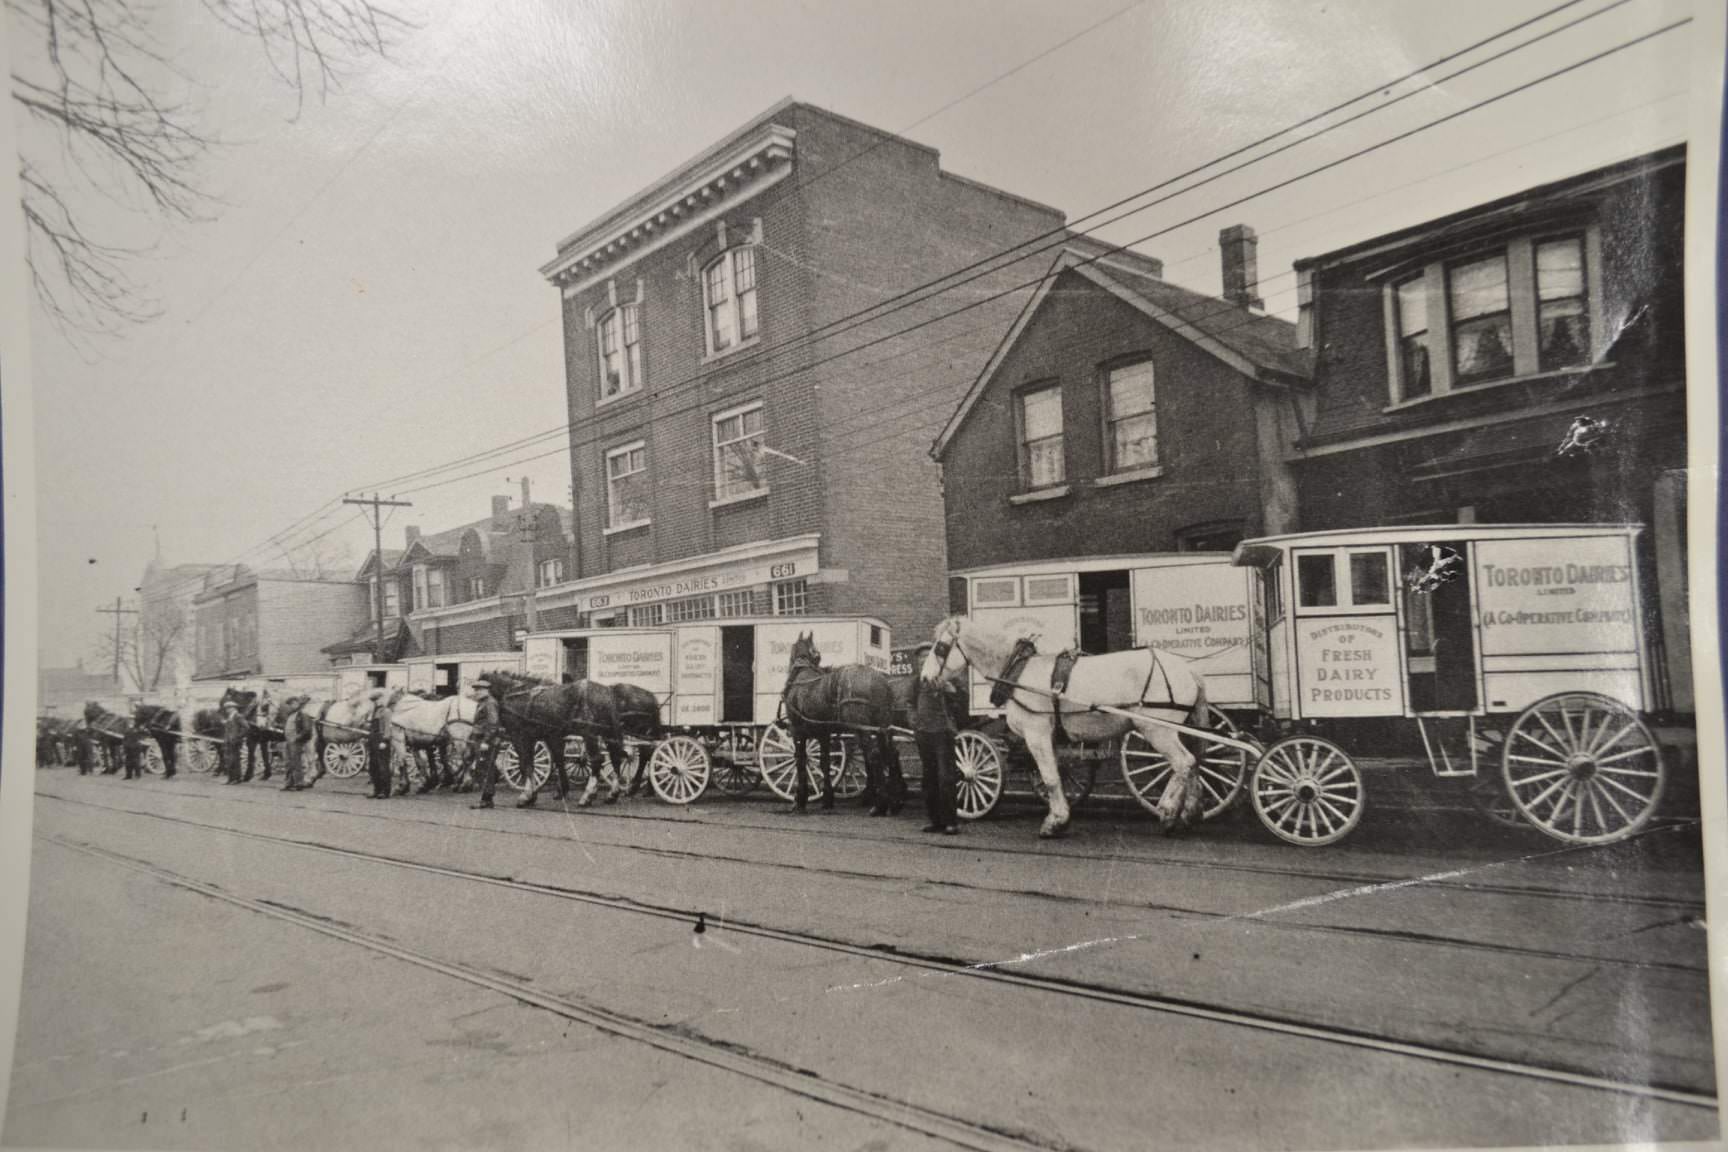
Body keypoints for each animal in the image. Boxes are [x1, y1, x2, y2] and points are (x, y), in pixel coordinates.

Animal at [777, 635, 898, 815]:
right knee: (889, 754)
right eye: (817, 655)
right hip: (882, 726)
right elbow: (824, 762)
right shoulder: (823, 733)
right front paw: (827, 798)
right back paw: (894, 801)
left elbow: (801, 761)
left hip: (862, 728)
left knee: (875, 756)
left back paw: (880, 804)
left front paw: (800, 800)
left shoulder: (798, 731)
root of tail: (879, 681)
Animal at [919, 611, 1202, 839]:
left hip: (1157, 729)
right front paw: (1061, 816)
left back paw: (1167, 813)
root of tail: (1188, 670)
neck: (1019, 672)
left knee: (1183, 763)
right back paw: (1189, 814)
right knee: (1195, 763)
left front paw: (1054, 823)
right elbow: (1056, 776)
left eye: (941, 647)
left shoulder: (1037, 734)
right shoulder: (1051, 739)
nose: (925, 678)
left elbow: (1050, 778)